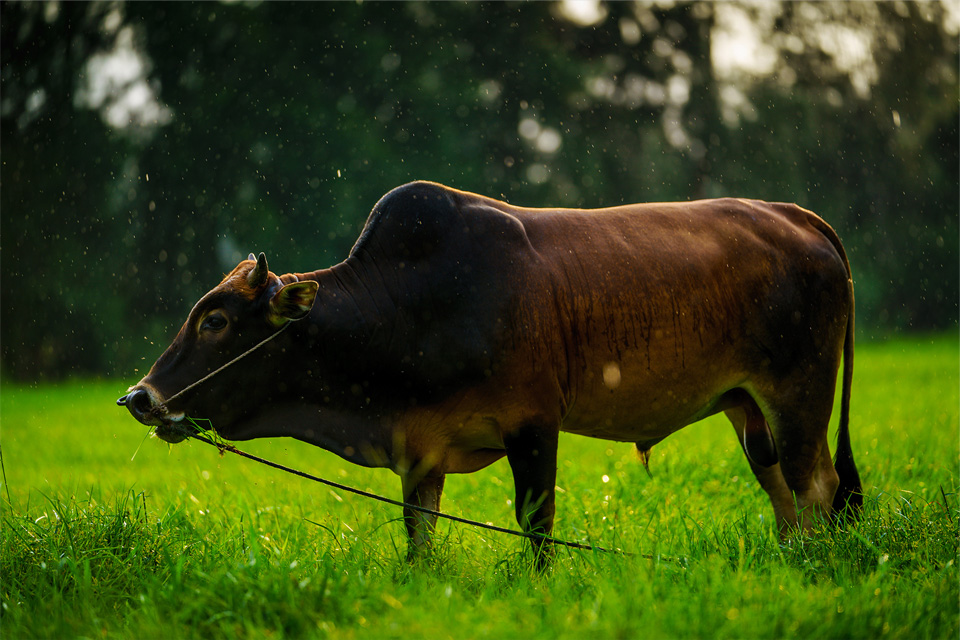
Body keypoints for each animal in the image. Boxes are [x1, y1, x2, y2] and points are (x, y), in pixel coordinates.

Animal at [120, 179, 864, 560]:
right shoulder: (420, 451)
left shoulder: (532, 425)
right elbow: (418, 535)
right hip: (747, 407)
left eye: (216, 321)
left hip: (798, 393)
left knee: (818, 487)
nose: (140, 397)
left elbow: (536, 522)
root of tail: (795, 214)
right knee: (783, 491)